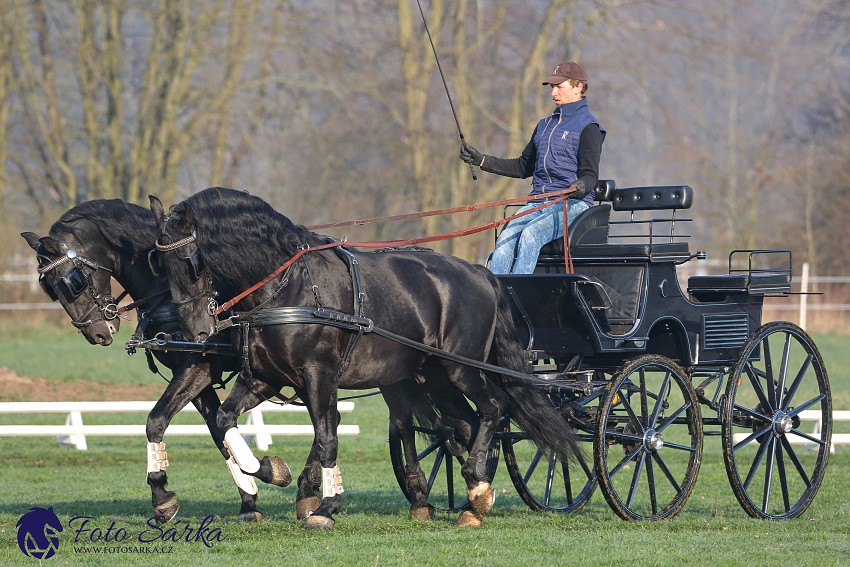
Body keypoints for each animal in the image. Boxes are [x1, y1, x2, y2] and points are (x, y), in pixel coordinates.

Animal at [21, 202, 294, 524]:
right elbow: (212, 431)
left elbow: (157, 420)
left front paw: (162, 496)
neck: (165, 289)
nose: (97, 333)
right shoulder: (191, 375)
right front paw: (248, 499)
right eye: (49, 288)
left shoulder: (201, 367)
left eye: (73, 281)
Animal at [151, 189, 576, 532]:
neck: (286, 286)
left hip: (461, 368)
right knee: (466, 425)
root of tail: (480, 274)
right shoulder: (263, 377)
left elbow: (327, 436)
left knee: (494, 406)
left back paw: (475, 486)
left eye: (191, 261)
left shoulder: (318, 375)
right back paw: (476, 497)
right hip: (434, 376)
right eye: (159, 265)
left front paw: (324, 507)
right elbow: (221, 421)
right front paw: (268, 472)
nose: (195, 333)